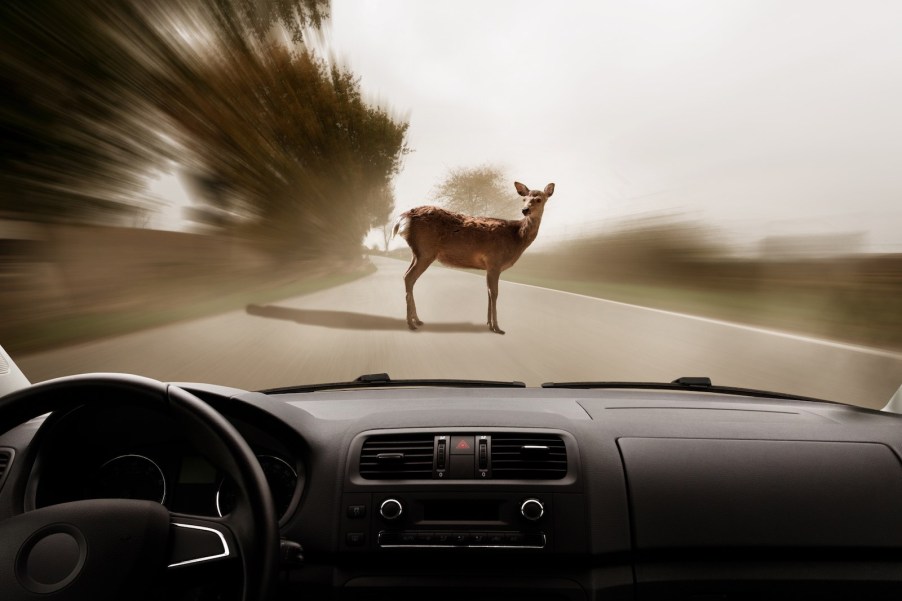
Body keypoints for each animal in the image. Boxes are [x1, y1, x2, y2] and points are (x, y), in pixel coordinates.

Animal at [392, 181, 555, 334]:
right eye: (524, 199)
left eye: (539, 199)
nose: (525, 210)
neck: (516, 237)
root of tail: (403, 218)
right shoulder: (494, 261)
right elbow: (494, 293)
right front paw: (497, 327)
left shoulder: (489, 266)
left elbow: (489, 292)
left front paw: (489, 324)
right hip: (426, 251)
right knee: (409, 277)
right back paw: (411, 323)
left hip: (417, 253)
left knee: (407, 277)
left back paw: (417, 320)